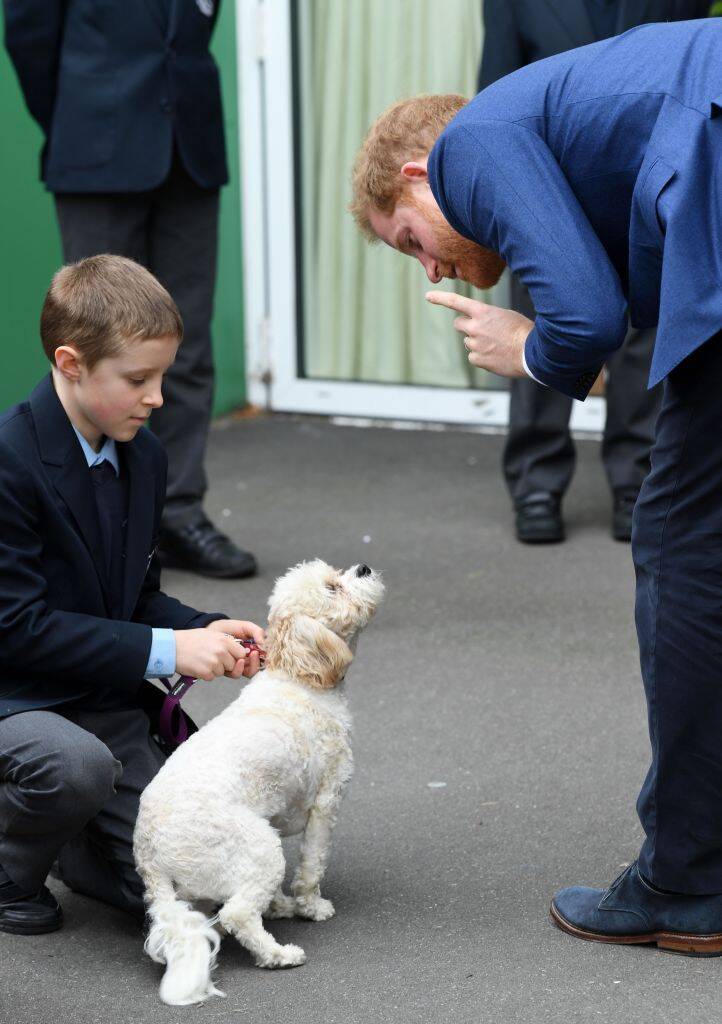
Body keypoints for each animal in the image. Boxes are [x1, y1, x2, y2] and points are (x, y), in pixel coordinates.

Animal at [133, 557, 385, 1003]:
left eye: (336, 573)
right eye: (333, 588)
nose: (364, 567)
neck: (298, 676)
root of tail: (148, 853)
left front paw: (290, 904)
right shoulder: (326, 802)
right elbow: (313, 866)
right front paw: (312, 907)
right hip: (260, 847)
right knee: (236, 914)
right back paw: (279, 954)